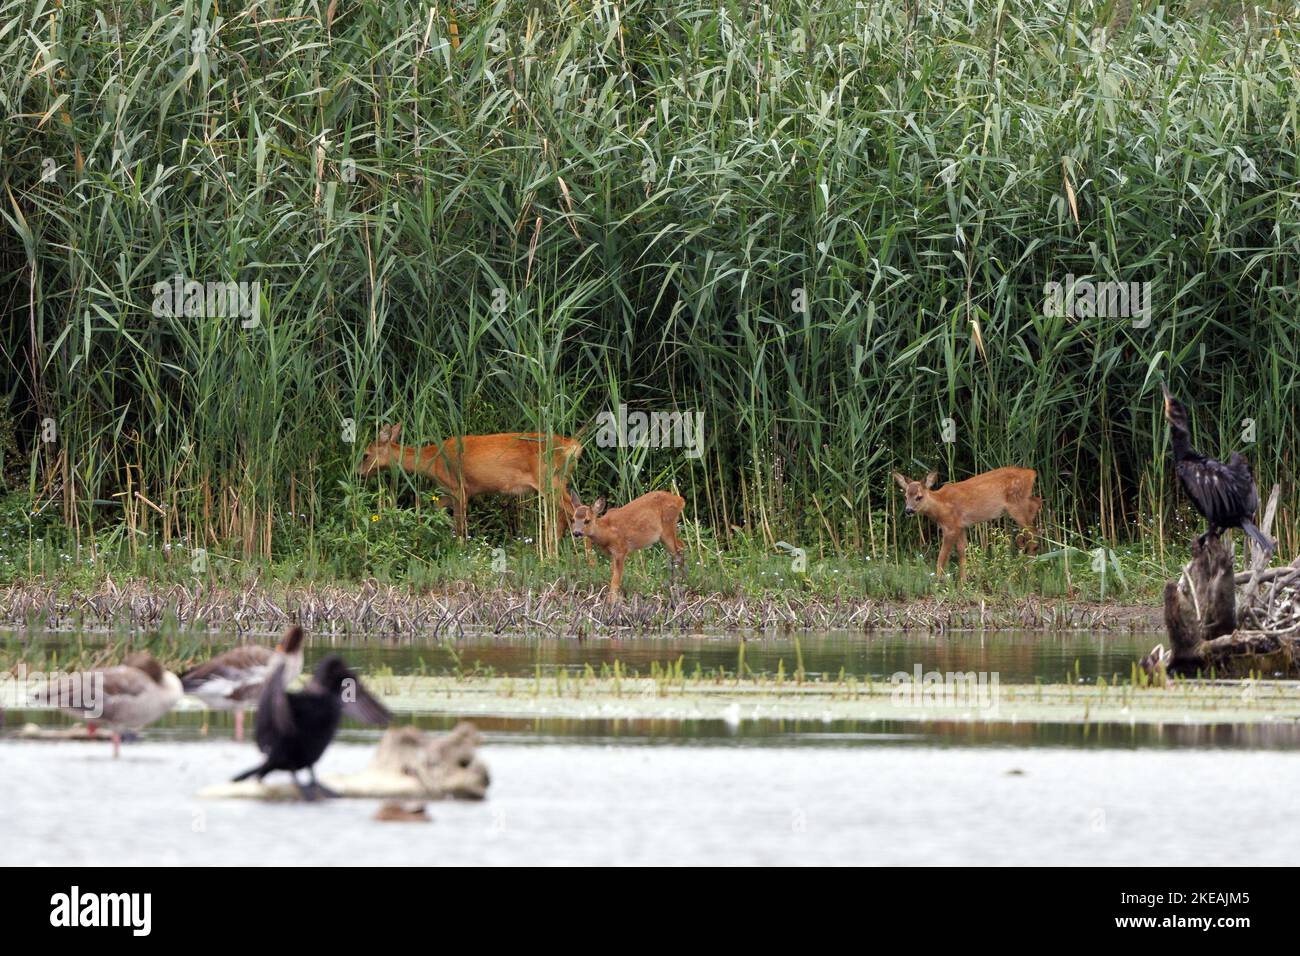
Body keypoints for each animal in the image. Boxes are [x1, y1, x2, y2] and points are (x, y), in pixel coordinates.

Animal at [353, 424, 582, 538]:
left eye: (365, 455)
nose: (358, 474)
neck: (433, 460)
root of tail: (572, 446)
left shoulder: (459, 487)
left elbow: (460, 523)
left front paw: (461, 549)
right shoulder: (455, 491)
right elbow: (436, 506)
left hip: (549, 480)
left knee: (575, 512)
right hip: (559, 481)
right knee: (565, 516)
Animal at [894, 468, 1045, 580]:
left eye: (919, 497)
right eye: (905, 496)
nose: (908, 510)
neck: (941, 506)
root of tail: (1031, 473)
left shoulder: (951, 527)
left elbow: (942, 557)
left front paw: (938, 582)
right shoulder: (962, 526)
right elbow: (962, 552)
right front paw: (963, 584)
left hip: (1016, 504)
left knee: (1033, 533)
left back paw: (1028, 573)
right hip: (1021, 503)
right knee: (1037, 504)